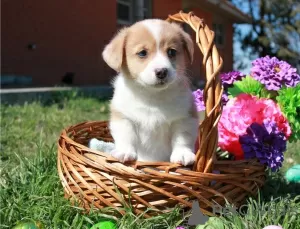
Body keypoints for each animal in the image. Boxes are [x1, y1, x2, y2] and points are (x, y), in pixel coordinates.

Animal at [102, 18, 198, 165]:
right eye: (142, 53)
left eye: (171, 52)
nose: (162, 71)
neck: (153, 96)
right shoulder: (123, 117)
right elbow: (126, 136)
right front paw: (124, 152)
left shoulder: (184, 118)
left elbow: (182, 138)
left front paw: (183, 154)